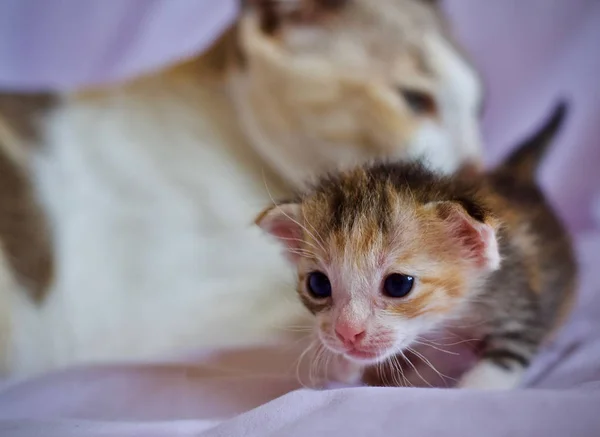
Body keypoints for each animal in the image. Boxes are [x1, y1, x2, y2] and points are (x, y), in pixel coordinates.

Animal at [256, 102, 576, 388]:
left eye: (398, 285)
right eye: (318, 284)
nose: (348, 333)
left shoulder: (519, 303)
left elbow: (504, 360)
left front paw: (474, 389)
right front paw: (342, 364)